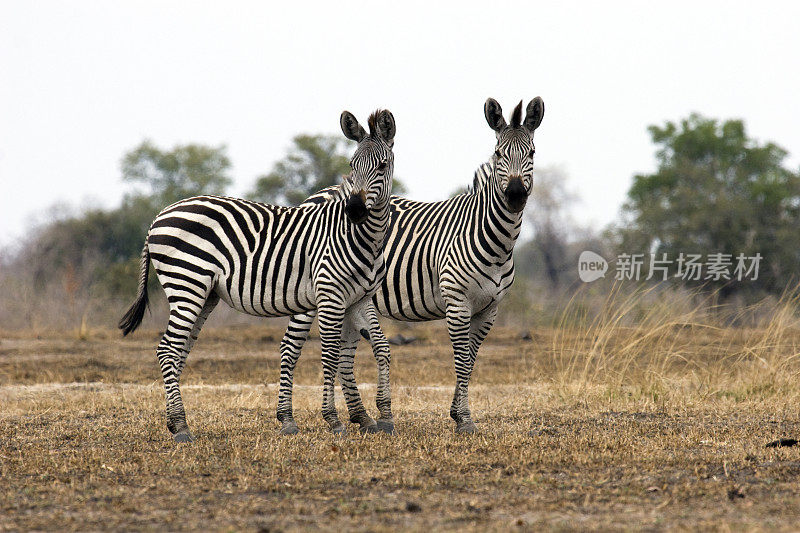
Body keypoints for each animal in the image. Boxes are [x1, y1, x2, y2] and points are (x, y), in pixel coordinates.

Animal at [118, 109, 396, 440]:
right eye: (352, 165)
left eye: (382, 166)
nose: (354, 210)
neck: (364, 239)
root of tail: (158, 218)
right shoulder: (330, 296)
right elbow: (329, 354)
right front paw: (333, 420)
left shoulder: (360, 299)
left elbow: (381, 347)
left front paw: (384, 416)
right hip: (188, 283)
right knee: (168, 349)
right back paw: (182, 427)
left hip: (204, 293)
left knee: (180, 350)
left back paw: (176, 423)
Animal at [276, 97, 544, 434]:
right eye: (498, 154)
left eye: (532, 153)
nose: (515, 195)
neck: (493, 238)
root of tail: (317, 194)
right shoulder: (457, 302)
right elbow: (460, 360)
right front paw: (464, 420)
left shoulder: (490, 308)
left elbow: (470, 360)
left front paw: (457, 413)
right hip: (310, 293)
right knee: (290, 346)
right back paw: (287, 418)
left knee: (344, 354)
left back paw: (360, 416)